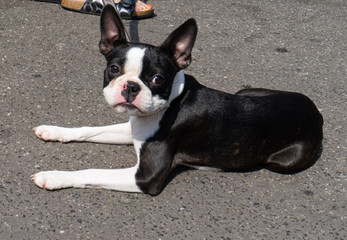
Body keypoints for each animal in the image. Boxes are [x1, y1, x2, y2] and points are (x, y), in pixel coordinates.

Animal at [31, 5, 324, 196]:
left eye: (158, 79)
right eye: (114, 69)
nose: (131, 86)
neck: (170, 102)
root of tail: (316, 112)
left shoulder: (145, 177)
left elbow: (93, 171)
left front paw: (52, 176)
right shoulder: (134, 127)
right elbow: (91, 130)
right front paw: (54, 131)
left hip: (282, 161)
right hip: (247, 91)